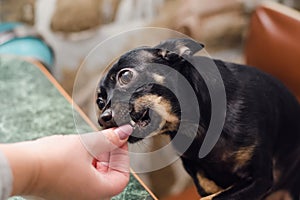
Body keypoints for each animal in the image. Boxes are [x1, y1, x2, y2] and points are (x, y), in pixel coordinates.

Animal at [96, 38, 300, 199]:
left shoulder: (260, 178)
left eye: (125, 76)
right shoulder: (199, 175)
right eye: (99, 101)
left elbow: (219, 198)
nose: (102, 119)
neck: (196, 125)